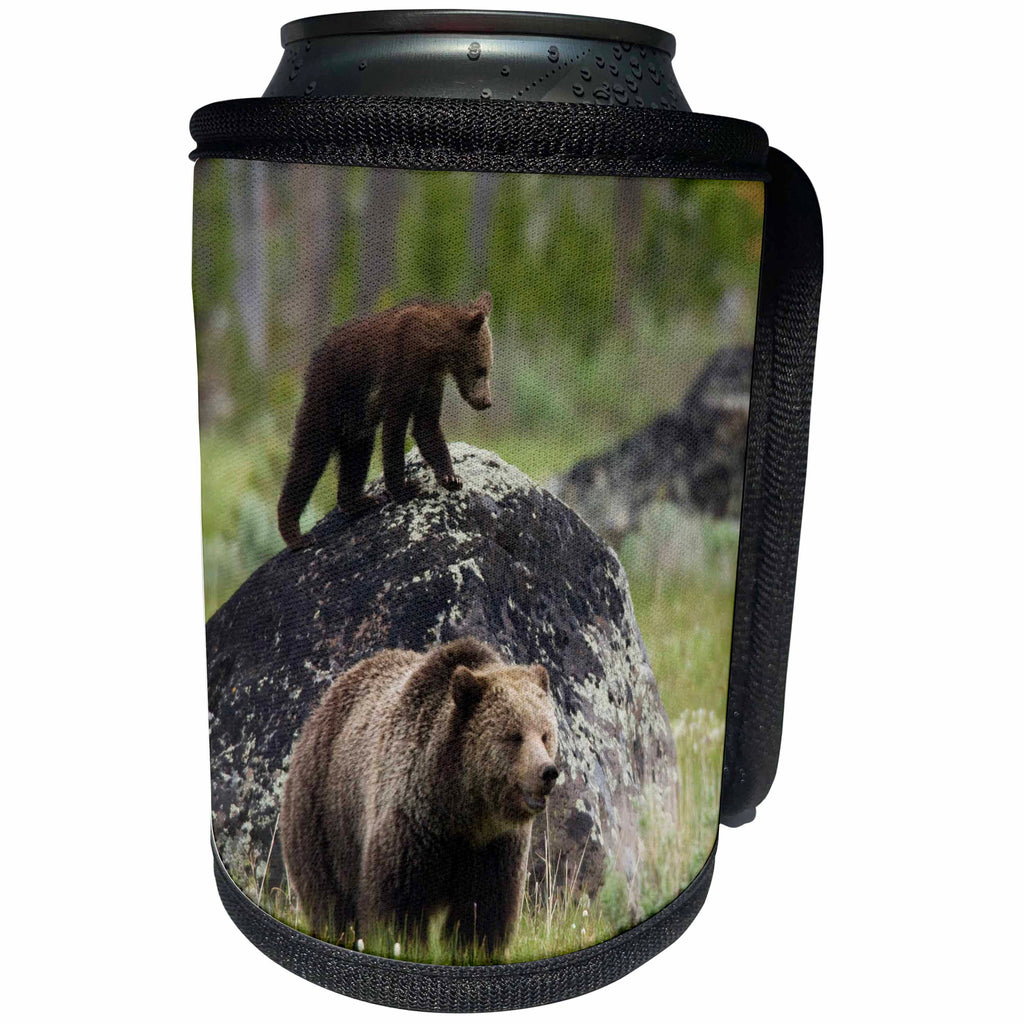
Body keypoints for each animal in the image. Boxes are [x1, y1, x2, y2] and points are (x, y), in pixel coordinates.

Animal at [277, 293, 495, 548]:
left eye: (488, 368)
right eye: (481, 369)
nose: (486, 401)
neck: (435, 349)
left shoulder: (431, 381)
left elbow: (426, 426)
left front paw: (451, 477)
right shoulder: (404, 367)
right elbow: (395, 428)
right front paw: (405, 488)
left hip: (357, 416)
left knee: (358, 452)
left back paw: (359, 501)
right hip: (330, 393)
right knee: (310, 455)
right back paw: (296, 534)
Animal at [279, 637, 559, 955]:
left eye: (545, 734)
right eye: (513, 735)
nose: (547, 772)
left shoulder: (495, 847)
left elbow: (484, 910)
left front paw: (471, 949)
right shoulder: (413, 824)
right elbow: (399, 903)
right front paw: (403, 944)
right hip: (325, 817)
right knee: (329, 900)